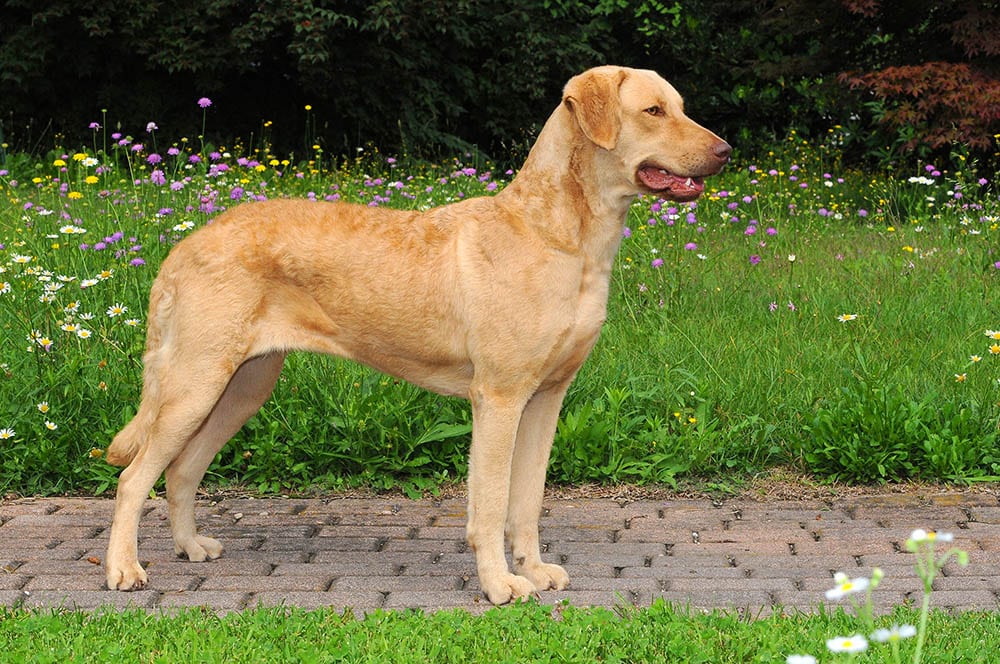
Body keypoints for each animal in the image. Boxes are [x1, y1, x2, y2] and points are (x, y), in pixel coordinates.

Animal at [103, 65, 728, 604]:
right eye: (652, 110)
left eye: (680, 107)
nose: (724, 152)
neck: (564, 233)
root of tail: (184, 245)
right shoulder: (499, 398)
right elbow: (491, 505)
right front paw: (500, 585)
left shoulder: (547, 398)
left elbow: (527, 503)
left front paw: (533, 570)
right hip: (196, 382)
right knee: (133, 478)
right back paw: (124, 570)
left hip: (242, 387)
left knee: (180, 470)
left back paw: (190, 547)